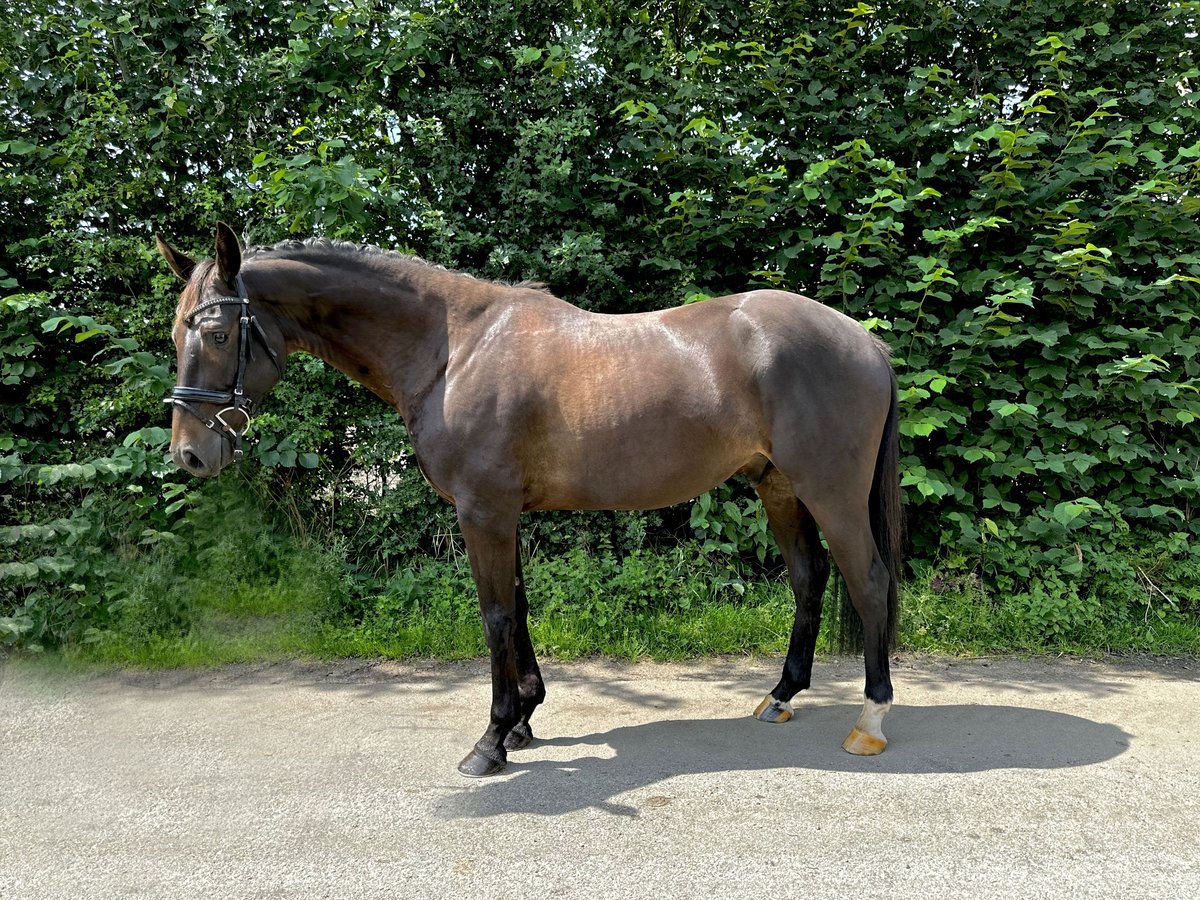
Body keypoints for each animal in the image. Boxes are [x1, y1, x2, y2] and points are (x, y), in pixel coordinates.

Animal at [157, 222, 902, 777]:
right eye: (176, 332)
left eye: (218, 334)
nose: (190, 454)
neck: (453, 350)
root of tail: (865, 340)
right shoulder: (500, 511)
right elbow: (516, 609)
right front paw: (523, 720)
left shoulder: (482, 511)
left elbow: (493, 617)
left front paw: (490, 740)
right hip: (777, 485)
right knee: (809, 579)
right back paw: (780, 695)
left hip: (830, 491)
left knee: (868, 582)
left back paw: (870, 718)